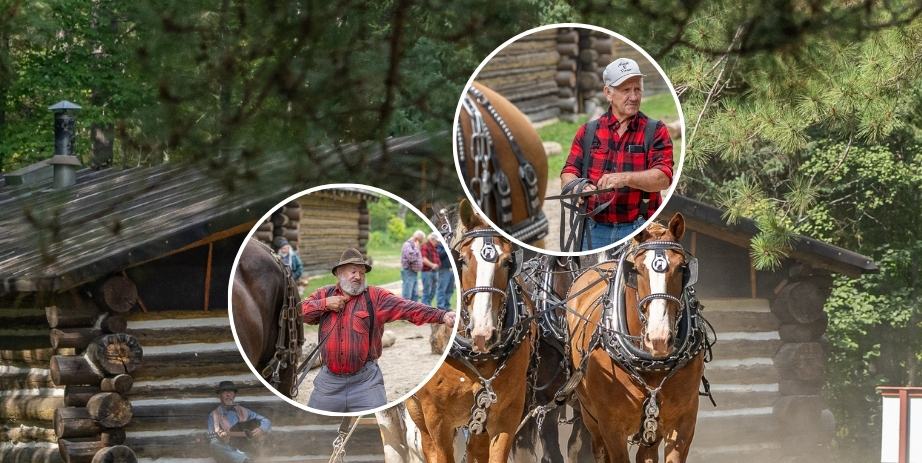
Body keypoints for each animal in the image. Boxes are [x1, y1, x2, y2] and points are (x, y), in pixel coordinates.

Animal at [406, 200, 536, 463]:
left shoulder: (506, 417)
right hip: (420, 418)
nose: (483, 334)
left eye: (508, 262)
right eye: (463, 260)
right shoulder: (438, 422)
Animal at [564, 216, 708, 462]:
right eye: (638, 270)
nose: (659, 339)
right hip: (591, 417)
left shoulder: (683, 422)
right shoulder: (611, 427)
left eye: (682, 268)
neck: (652, 365)